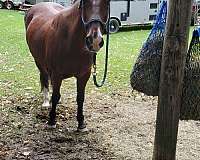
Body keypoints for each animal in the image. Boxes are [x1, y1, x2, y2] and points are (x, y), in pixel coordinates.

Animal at [25, 0, 110, 131]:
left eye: (107, 3)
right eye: (84, 3)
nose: (95, 40)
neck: (72, 41)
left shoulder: (84, 75)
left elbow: (80, 98)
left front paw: (81, 123)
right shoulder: (56, 74)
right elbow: (55, 96)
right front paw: (51, 121)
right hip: (39, 61)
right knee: (44, 78)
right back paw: (46, 101)